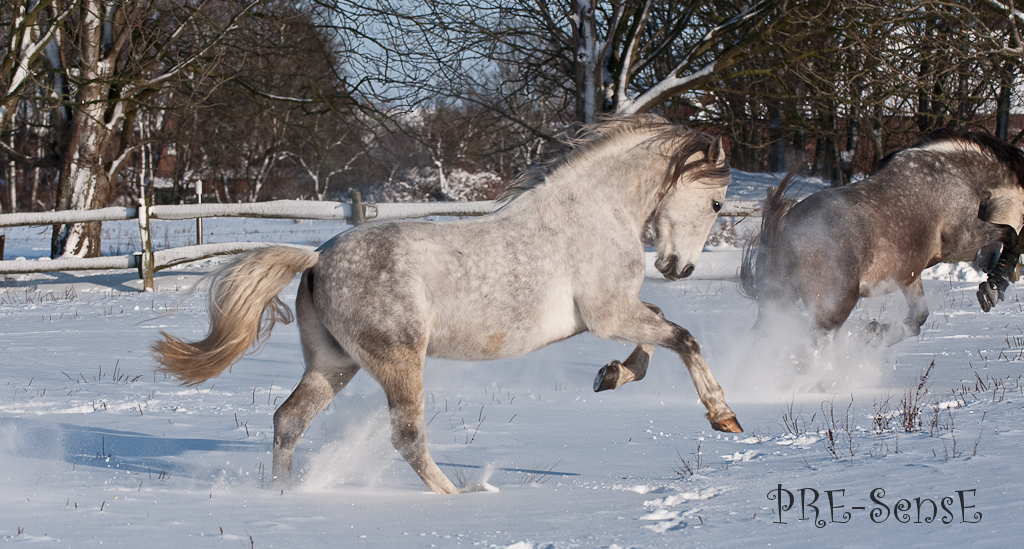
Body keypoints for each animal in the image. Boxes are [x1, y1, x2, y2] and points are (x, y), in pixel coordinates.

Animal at [151, 114, 741, 493]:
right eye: (716, 203)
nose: (679, 268)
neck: (593, 211)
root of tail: (316, 257)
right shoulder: (608, 313)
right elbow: (682, 336)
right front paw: (723, 417)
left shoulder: (616, 313)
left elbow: (658, 331)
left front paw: (611, 375)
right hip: (397, 360)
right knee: (407, 437)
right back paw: (457, 498)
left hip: (333, 364)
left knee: (288, 420)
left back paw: (281, 496)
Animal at [745, 129, 1024, 348]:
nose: (985, 262)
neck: (955, 172)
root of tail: (785, 227)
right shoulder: (963, 234)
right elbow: (1010, 234)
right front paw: (994, 288)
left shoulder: (909, 275)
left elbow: (917, 320)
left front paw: (874, 334)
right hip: (833, 308)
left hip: (778, 300)